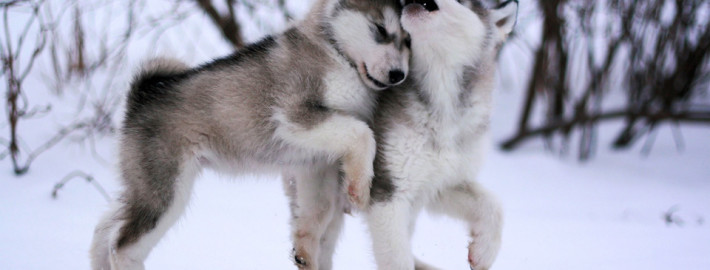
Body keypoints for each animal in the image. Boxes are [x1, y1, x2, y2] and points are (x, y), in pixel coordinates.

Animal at [89, 1, 412, 268]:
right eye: (381, 30)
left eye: (408, 40)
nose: (398, 75)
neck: (337, 52)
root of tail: (142, 94)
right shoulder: (294, 116)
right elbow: (362, 132)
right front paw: (360, 188)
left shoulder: (316, 161)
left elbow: (318, 209)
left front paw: (305, 248)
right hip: (166, 190)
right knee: (123, 245)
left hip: (143, 185)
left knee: (105, 229)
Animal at [286, 0, 520, 270]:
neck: (441, 102)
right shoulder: (390, 191)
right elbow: (397, 258)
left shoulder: (441, 185)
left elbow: (492, 204)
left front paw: (484, 251)